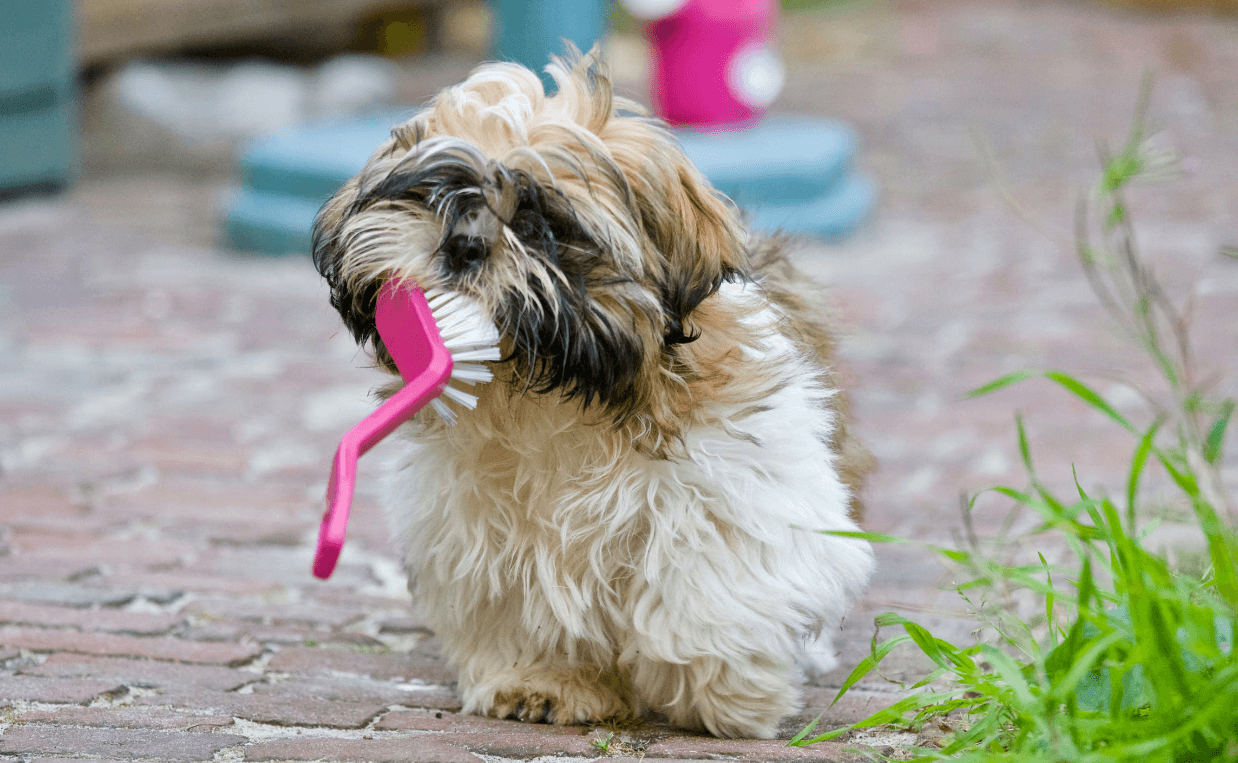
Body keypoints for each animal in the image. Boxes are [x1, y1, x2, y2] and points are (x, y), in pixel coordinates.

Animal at [314, 47, 876, 738]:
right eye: (436, 195)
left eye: (540, 223)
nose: (464, 244)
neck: (543, 388)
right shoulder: (477, 525)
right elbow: (520, 601)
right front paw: (541, 681)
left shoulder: (736, 486)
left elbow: (708, 588)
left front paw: (721, 692)